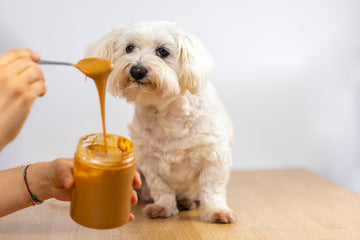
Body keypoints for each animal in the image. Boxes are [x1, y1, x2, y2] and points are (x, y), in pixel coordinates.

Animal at [86, 20, 235, 223]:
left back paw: (187, 201)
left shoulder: (214, 156)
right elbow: (162, 188)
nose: (137, 70)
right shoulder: (150, 162)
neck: (166, 113)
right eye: (129, 48)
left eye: (162, 51)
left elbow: (212, 189)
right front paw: (163, 207)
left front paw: (216, 211)